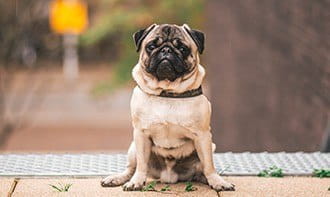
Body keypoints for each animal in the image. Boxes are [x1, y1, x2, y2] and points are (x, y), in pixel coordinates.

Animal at [100, 23, 235, 192]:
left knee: (202, 169)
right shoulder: (140, 134)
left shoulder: (203, 136)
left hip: (211, 146)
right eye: (151, 46)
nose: (166, 50)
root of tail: (168, 177)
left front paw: (217, 181)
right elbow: (141, 164)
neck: (167, 92)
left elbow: (209, 165)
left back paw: (207, 178)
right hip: (132, 148)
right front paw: (136, 181)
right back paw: (118, 178)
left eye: (183, 48)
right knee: (131, 168)